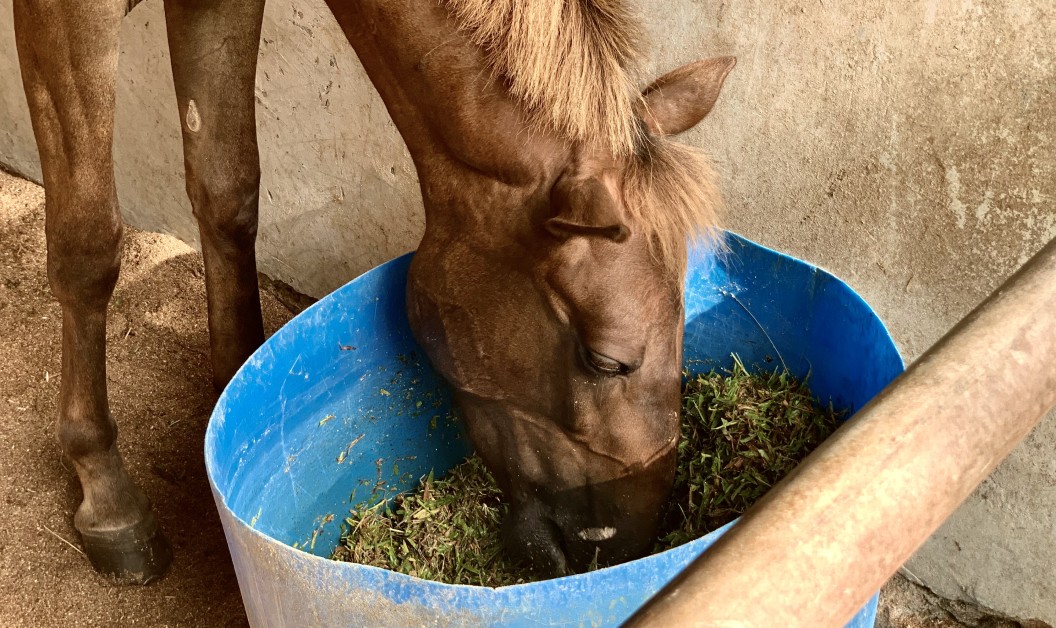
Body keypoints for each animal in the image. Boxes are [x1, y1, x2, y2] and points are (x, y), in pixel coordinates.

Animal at [13, 0, 733, 583]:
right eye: (605, 360)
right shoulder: (67, 16)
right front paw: (109, 498)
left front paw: (234, 391)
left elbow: (227, 190)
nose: (627, 544)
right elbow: (87, 250)